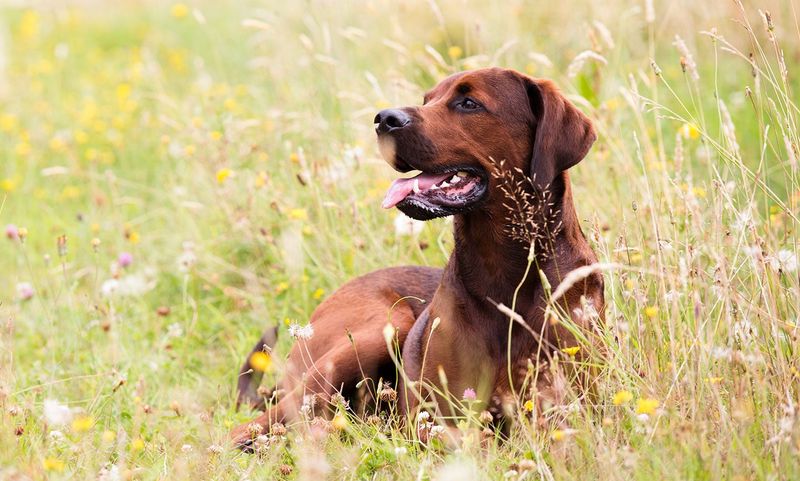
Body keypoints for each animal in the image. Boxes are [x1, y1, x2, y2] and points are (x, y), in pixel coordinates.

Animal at [231, 66, 608, 446]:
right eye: (428, 99)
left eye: (469, 103)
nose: (384, 119)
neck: (505, 274)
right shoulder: (435, 419)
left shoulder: (568, 408)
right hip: (380, 330)